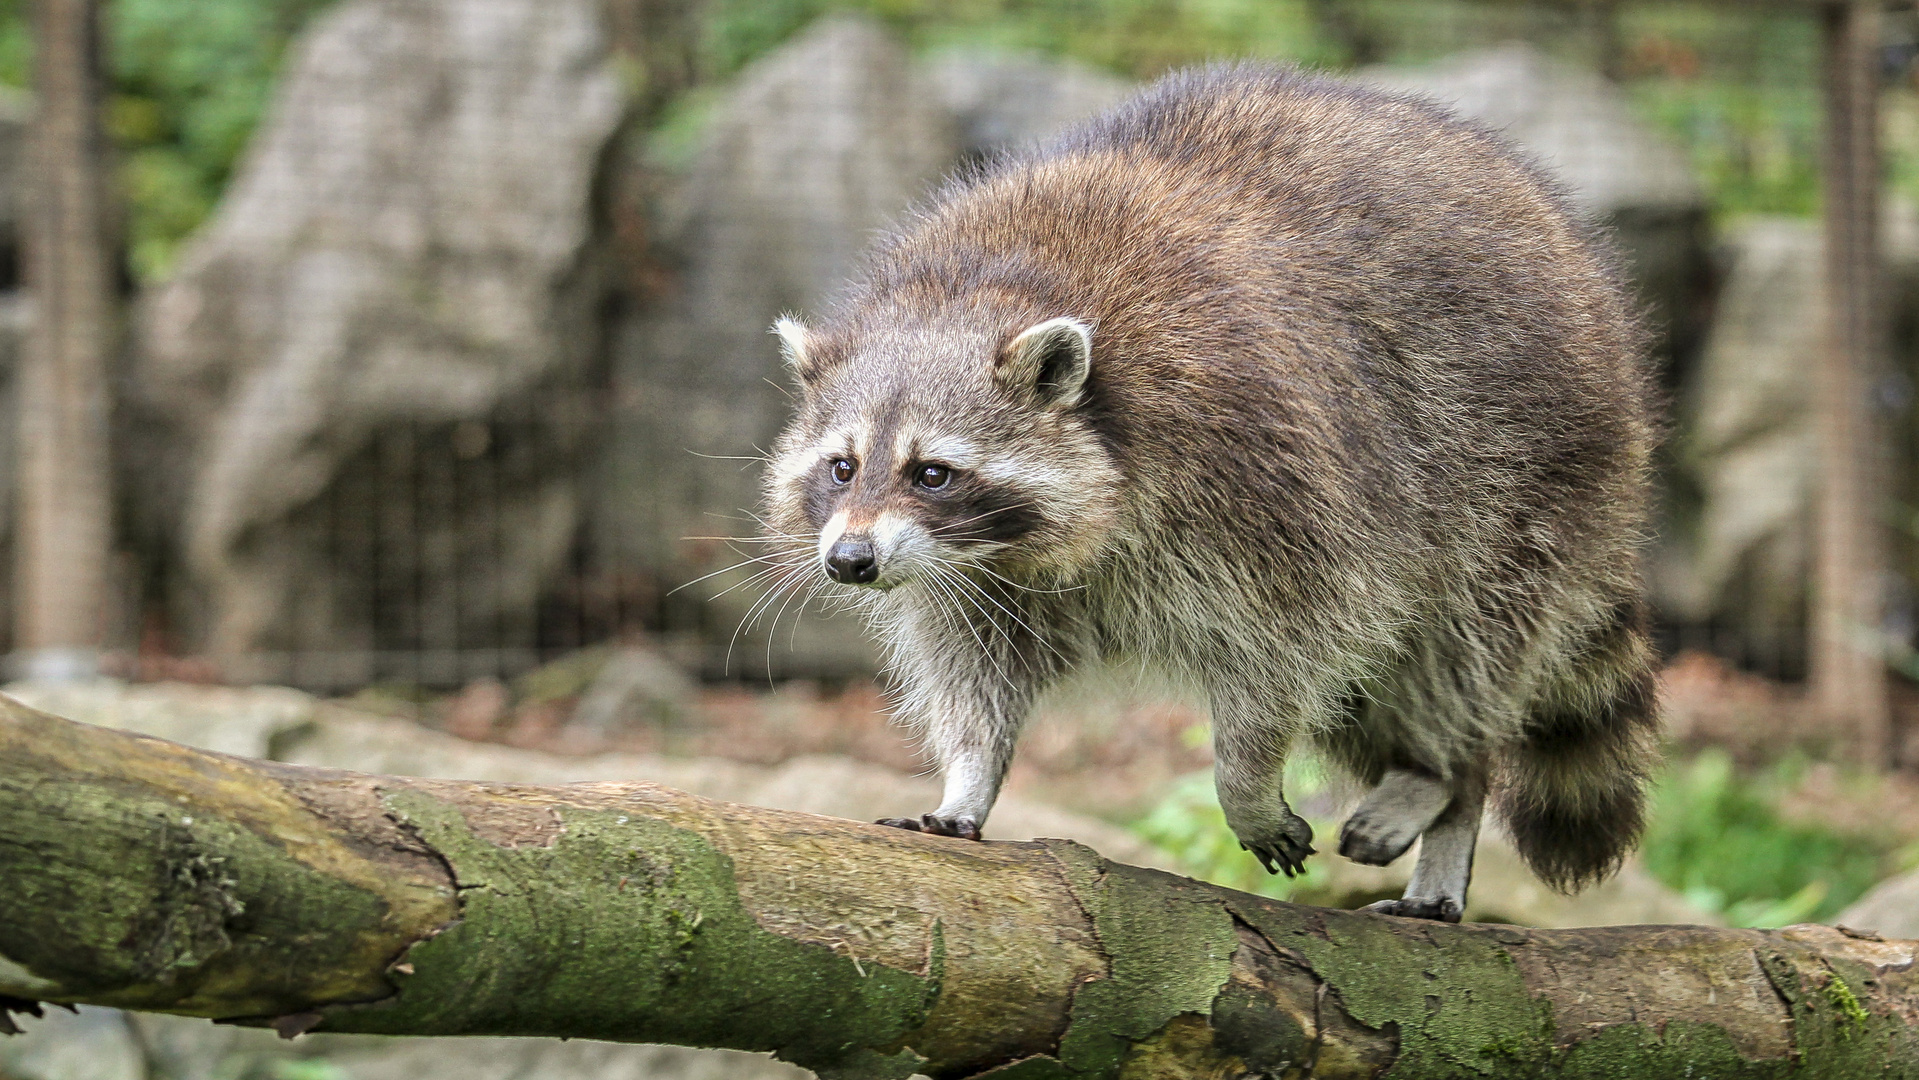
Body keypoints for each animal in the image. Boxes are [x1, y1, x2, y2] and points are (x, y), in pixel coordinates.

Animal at [756, 63, 1658, 920]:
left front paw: (1246, 779)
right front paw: (968, 779)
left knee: (1460, 648)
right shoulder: (979, 576)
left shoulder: (1267, 473)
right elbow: (973, 670)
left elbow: (1291, 647)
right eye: (841, 467)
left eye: (931, 473)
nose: (849, 561)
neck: (980, 292)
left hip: (1521, 472)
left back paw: (1441, 777)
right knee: (1378, 693)